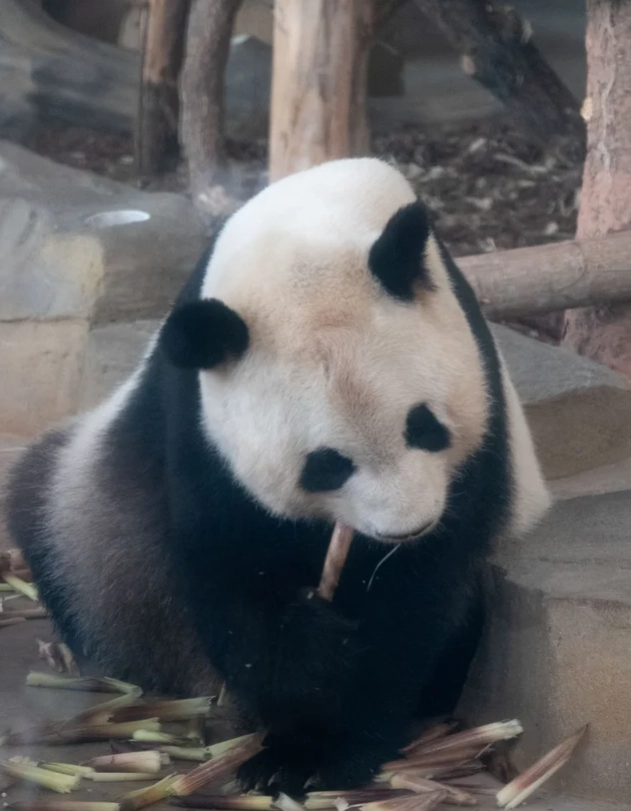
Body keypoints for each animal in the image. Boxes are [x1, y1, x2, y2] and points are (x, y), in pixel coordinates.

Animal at [6, 158, 550, 794]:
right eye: (327, 464)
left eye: (424, 425)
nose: (406, 528)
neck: (304, 231)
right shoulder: (196, 422)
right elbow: (230, 569)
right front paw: (301, 714)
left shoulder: (479, 426)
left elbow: (417, 596)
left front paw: (328, 746)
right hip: (88, 515)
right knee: (48, 517)